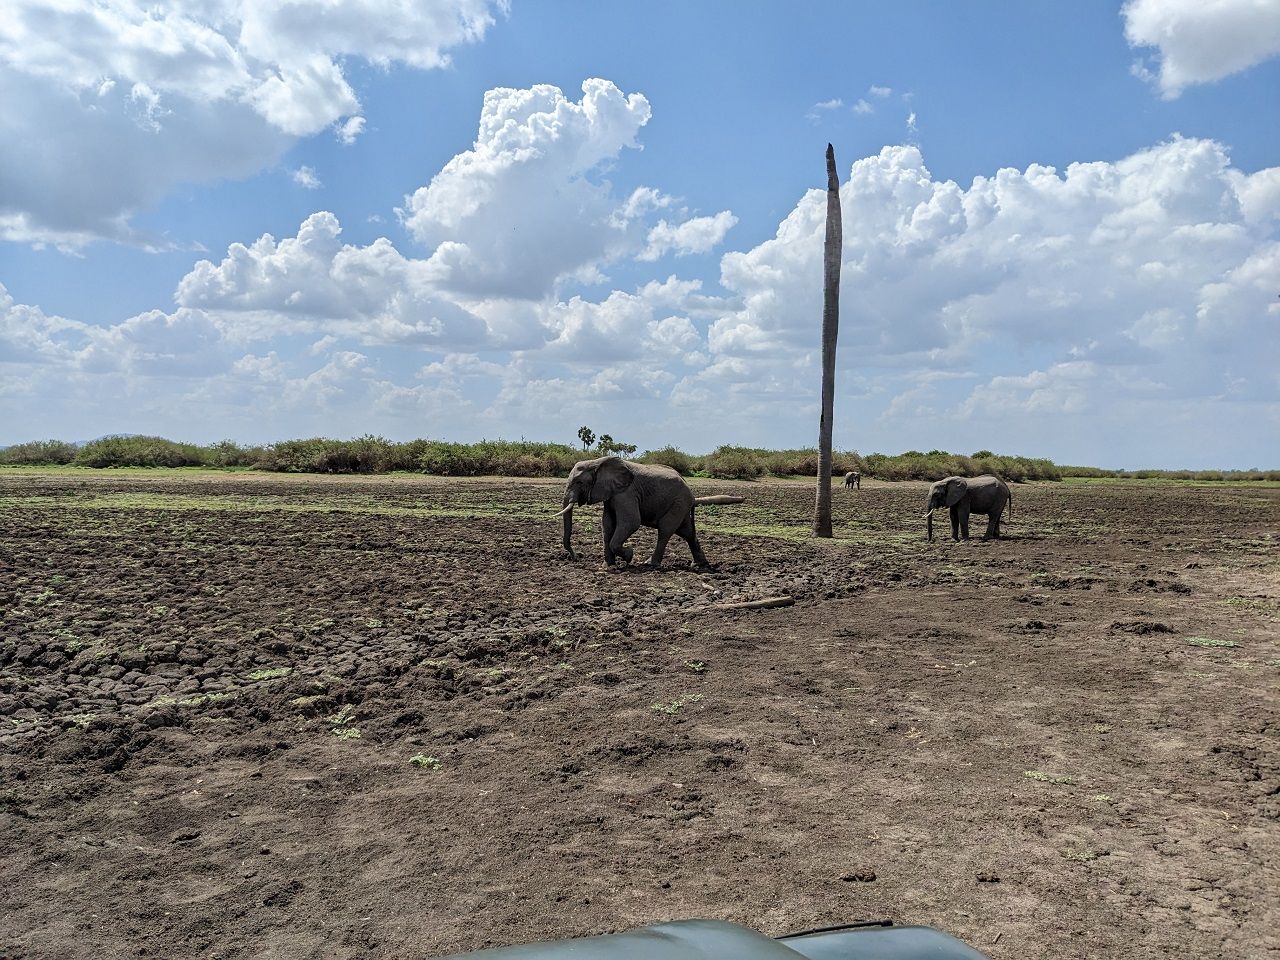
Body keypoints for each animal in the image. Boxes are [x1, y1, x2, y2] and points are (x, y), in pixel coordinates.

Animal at [555, 455, 747, 568]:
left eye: (579, 482)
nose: (575, 557)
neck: (597, 461)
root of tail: (691, 494)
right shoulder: (611, 494)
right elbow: (607, 524)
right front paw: (608, 566)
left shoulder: (627, 493)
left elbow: (631, 522)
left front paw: (629, 556)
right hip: (681, 506)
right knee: (688, 533)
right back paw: (699, 565)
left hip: (678, 503)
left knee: (665, 530)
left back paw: (651, 564)